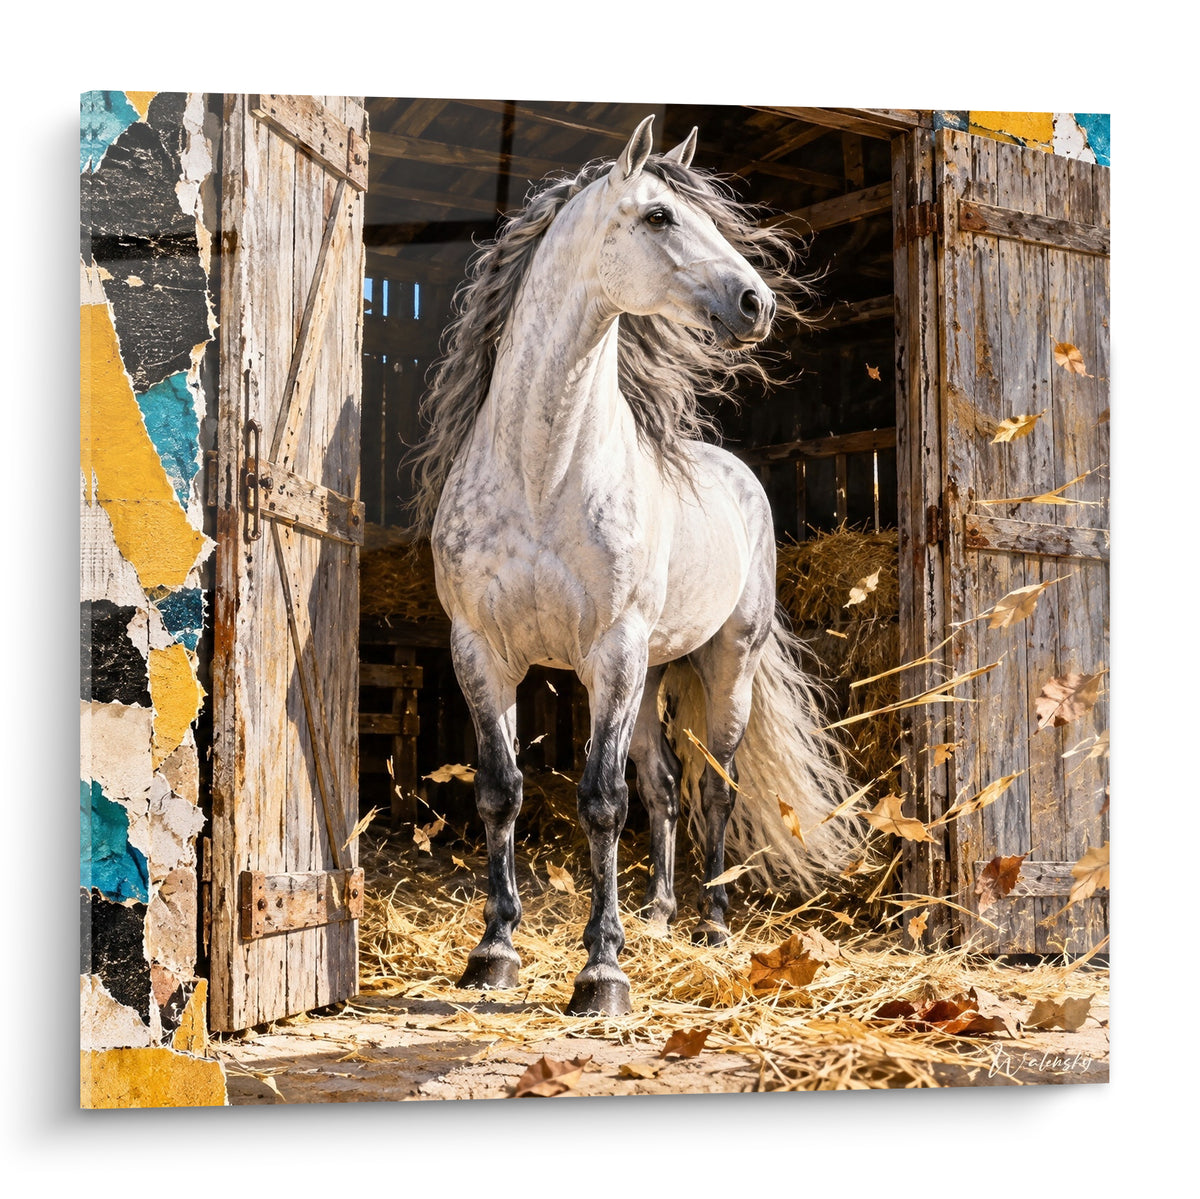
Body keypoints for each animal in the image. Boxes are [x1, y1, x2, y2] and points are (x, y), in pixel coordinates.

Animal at [409, 116, 857, 1016]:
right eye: (658, 216)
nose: (756, 304)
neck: (541, 470)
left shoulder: (609, 653)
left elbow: (601, 802)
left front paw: (601, 972)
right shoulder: (482, 652)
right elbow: (501, 791)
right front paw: (494, 951)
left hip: (723, 667)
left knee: (713, 786)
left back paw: (711, 925)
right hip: (651, 677)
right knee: (664, 786)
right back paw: (657, 915)